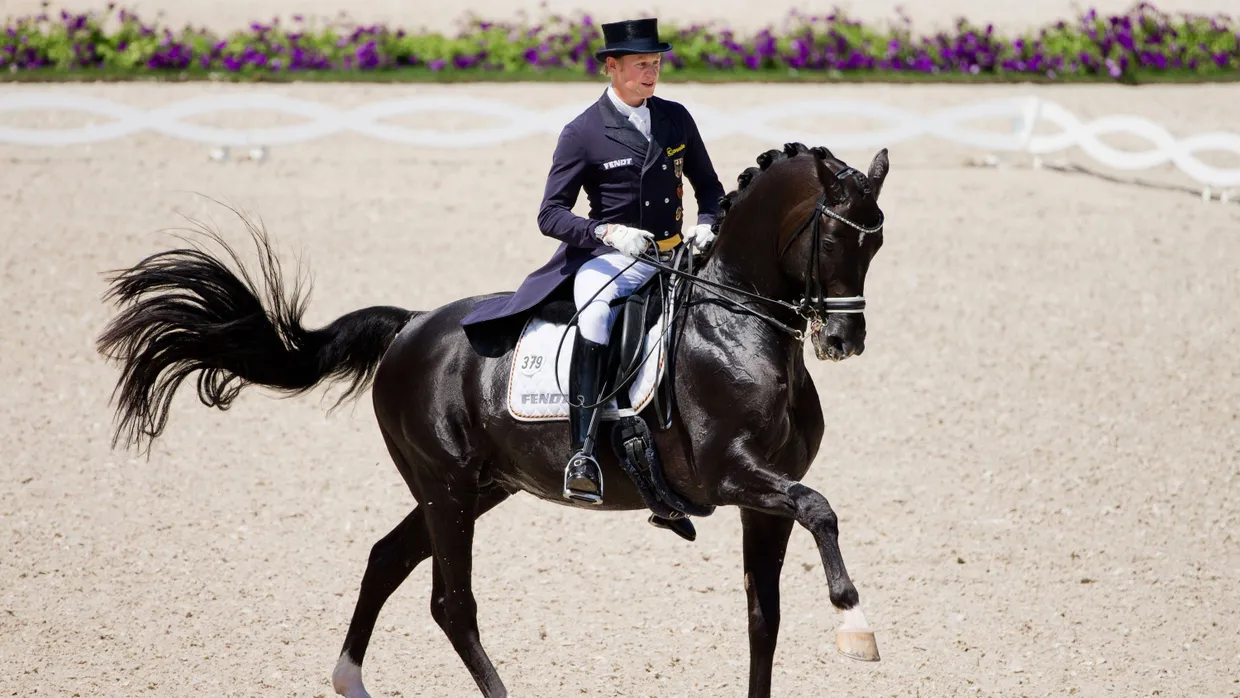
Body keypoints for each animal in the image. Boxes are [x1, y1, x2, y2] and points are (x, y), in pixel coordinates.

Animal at [96, 141, 890, 698]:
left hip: (475, 487)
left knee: (386, 558)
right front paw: (855, 622)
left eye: (877, 240)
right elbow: (821, 509)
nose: (843, 341)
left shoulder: (764, 497)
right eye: (834, 239)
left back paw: (350, 679)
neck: (738, 325)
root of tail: (413, 325)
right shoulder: (732, 476)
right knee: (452, 603)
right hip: (447, 487)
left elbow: (765, 616)